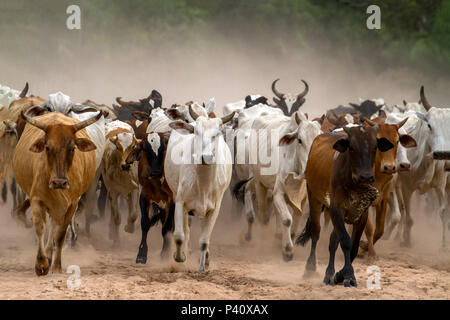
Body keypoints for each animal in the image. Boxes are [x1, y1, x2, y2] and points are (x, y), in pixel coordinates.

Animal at [12, 111, 100, 274]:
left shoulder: (72, 205)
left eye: (72, 148)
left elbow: (59, 235)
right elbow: (40, 229)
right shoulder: (36, 199)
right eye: (47, 147)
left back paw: (51, 256)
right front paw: (41, 264)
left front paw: (57, 266)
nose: (59, 183)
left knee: (54, 226)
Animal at [126, 131, 176, 264]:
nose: (156, 172)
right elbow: (145, 223)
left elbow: (167, 228)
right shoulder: (144, 196)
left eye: (163, 149)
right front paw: (141, 254)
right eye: (146, 149)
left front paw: (165, 254)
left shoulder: (172, 200)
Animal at [166, 106, 236, 272]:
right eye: (196, 132)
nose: (206, 157)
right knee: (186, 231)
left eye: (217, 134)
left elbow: (204, 240)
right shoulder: (180, 202)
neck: (203, 183)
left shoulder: (214, 209)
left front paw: (202, 267)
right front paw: (180, 257)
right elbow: (179, 236)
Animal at [251, 110, 322, 260]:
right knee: (262, 212)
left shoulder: (303, 198)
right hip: (259, 182)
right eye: (299, 140)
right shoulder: (278, 193)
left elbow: (296, 220)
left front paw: (288, 240)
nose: (309, 169)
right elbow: (287, 219)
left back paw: (279, 235)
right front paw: (288, 250)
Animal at [298, 124, 396, 286]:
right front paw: (349, 275)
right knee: (316, 232)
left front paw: (339, 274)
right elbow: (345, 242)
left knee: (333, 241)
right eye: (352, 148)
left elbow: (353, 247)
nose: (366, 177)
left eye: (375, 147)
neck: (353, 183)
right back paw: (310, 268)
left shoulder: (362, 214)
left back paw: (329, 273)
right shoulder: (336, 209)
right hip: (314, 199)